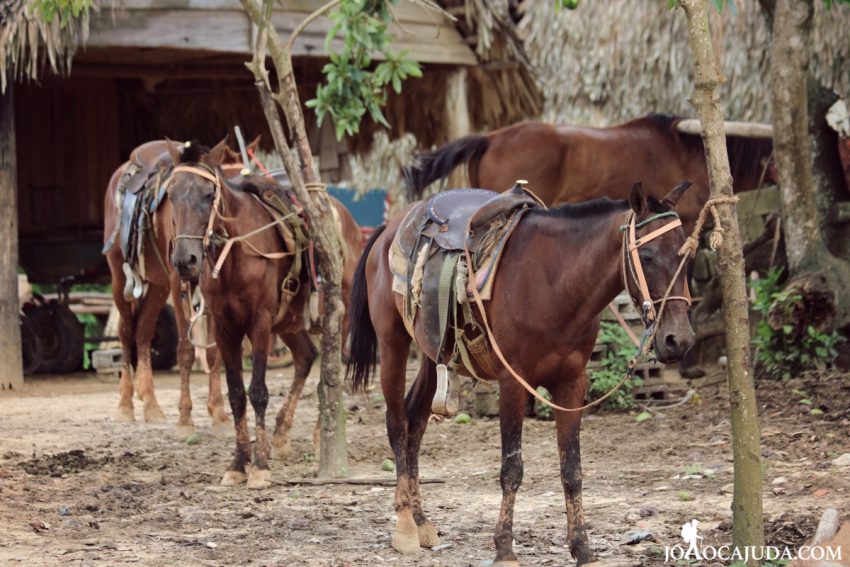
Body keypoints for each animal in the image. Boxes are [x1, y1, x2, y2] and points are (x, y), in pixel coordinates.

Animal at [167, 140, 362, 490]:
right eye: (171, 194)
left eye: (208, 194)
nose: (184, 260)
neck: (235, 254)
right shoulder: (225, 327)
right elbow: (235, 395)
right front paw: (238, 463)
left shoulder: (259, 322)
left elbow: (257, 392)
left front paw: (258, 467)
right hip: (289, 322)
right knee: (305, 357)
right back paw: (280, 435)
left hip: (338, 313)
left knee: (332, 368)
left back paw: (318, 433)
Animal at [348, 180, 692, 564]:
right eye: (646, 257)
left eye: (687, 256)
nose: (679, 340)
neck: (554, 282)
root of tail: (387, 230)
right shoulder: (512, 383)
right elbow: (512, 468)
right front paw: (505, 548)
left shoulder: (572, 384)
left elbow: (572, 469)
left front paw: (582, 547)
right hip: (392, 341)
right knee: (396, 422)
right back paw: (406, 525)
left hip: (430, 349)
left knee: (415, 421)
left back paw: (422, 522)